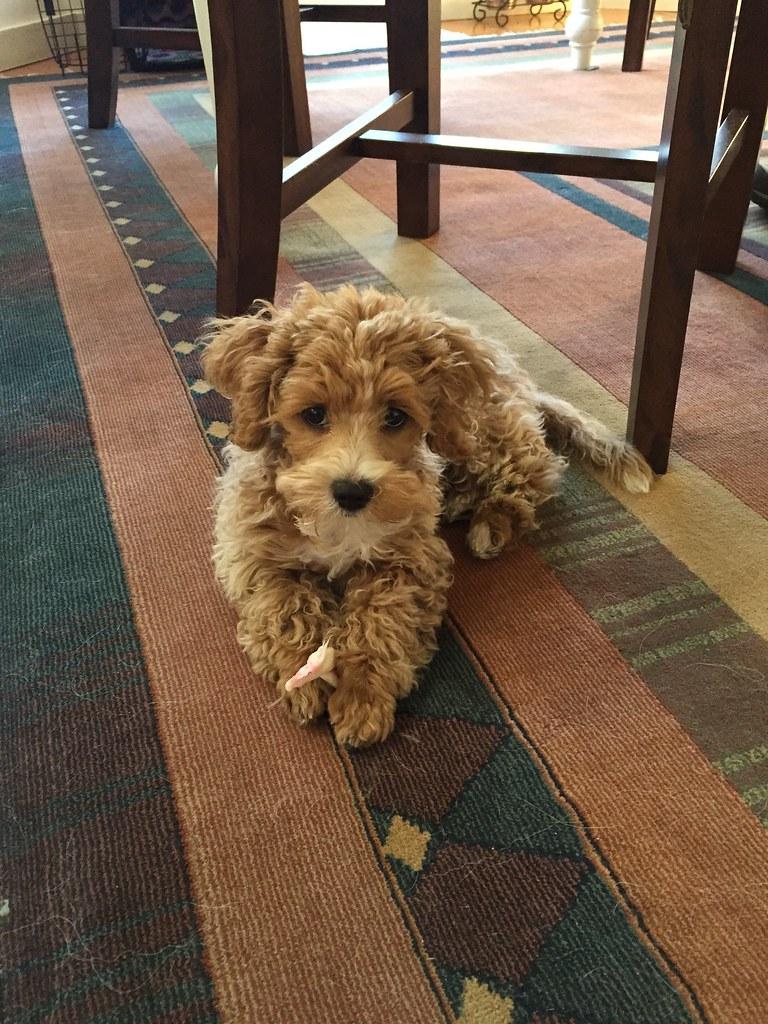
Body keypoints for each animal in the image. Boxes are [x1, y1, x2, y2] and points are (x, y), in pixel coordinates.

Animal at [201, 284, 651, 749]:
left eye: (395, 416)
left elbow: (381, 622)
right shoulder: (253, 552)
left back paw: (491, 524)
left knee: (533, 469)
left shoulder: (409, 558)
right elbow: (283, 607)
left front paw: (362, 697)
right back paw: (459, 502)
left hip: (483, 430)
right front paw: (304, 679)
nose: (352, 492)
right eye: (313, 413)